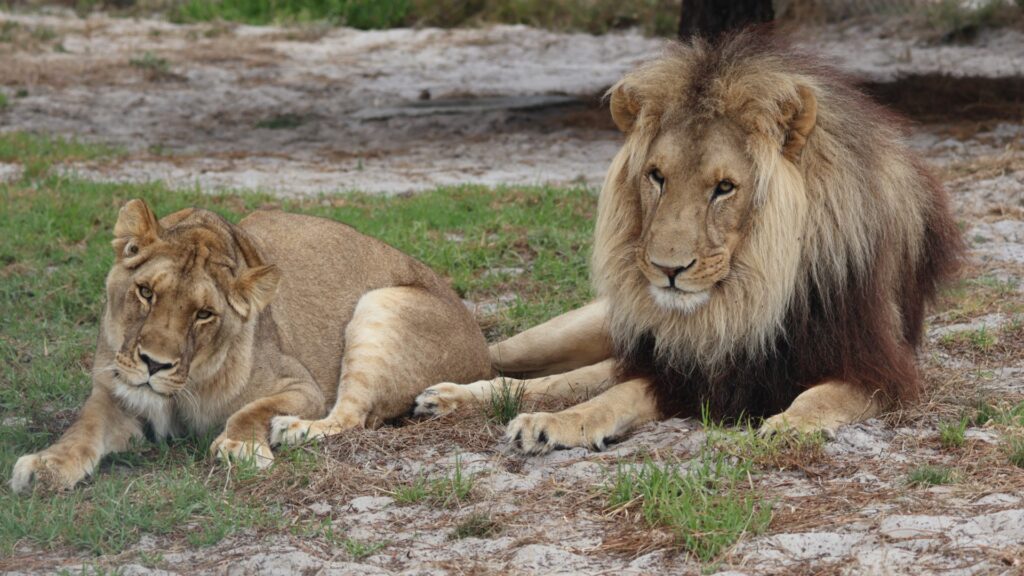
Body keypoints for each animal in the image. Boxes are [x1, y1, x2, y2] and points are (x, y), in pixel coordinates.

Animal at [10, 200, 491, 492]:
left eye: (204, 314)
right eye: (146, 292)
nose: (153, 365)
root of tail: (483, 349)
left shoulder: (302, 386)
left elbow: (252, 410)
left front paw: (241, 447)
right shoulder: (113, 390)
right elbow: (82, 430)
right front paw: (45, 466)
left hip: (380, 304)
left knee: (353, 416)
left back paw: (294, 430)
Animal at [414, 31, 962, 454]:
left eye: (724, 187)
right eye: (657, 177)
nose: (667, 270)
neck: (747, 299)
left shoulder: (881, 371)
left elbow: (820, 396)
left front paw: (788, 424)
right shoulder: (681, 373)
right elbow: (607, 396)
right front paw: (552, 424)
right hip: (579, 331)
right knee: (511, 362)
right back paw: (446, 394)